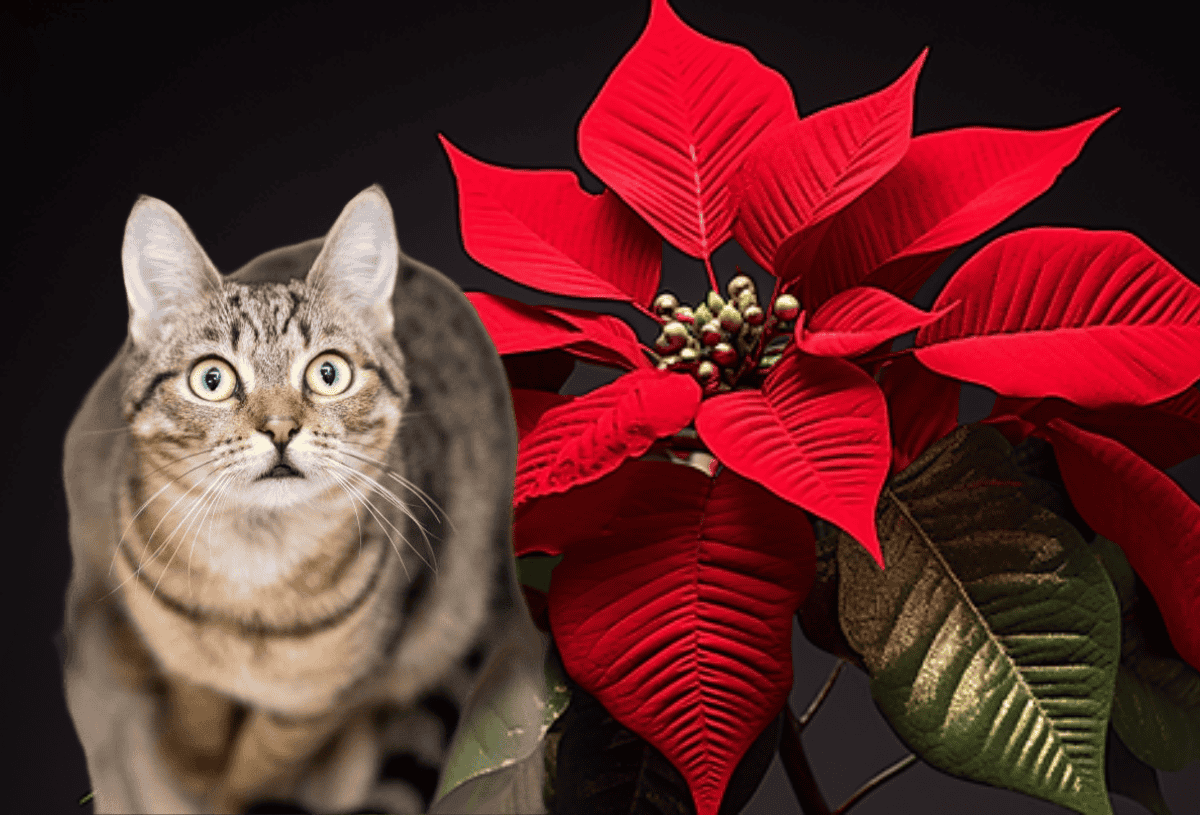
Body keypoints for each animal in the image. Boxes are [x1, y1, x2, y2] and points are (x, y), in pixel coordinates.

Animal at [56, 186, 544, 815]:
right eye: (211, 379)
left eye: (328, 373)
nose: (281, 428)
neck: (252, 569)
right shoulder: (180, 658)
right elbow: (198, 707)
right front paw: (193, 761)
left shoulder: (317, 701)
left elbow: (265, 758)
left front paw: (232, 791)